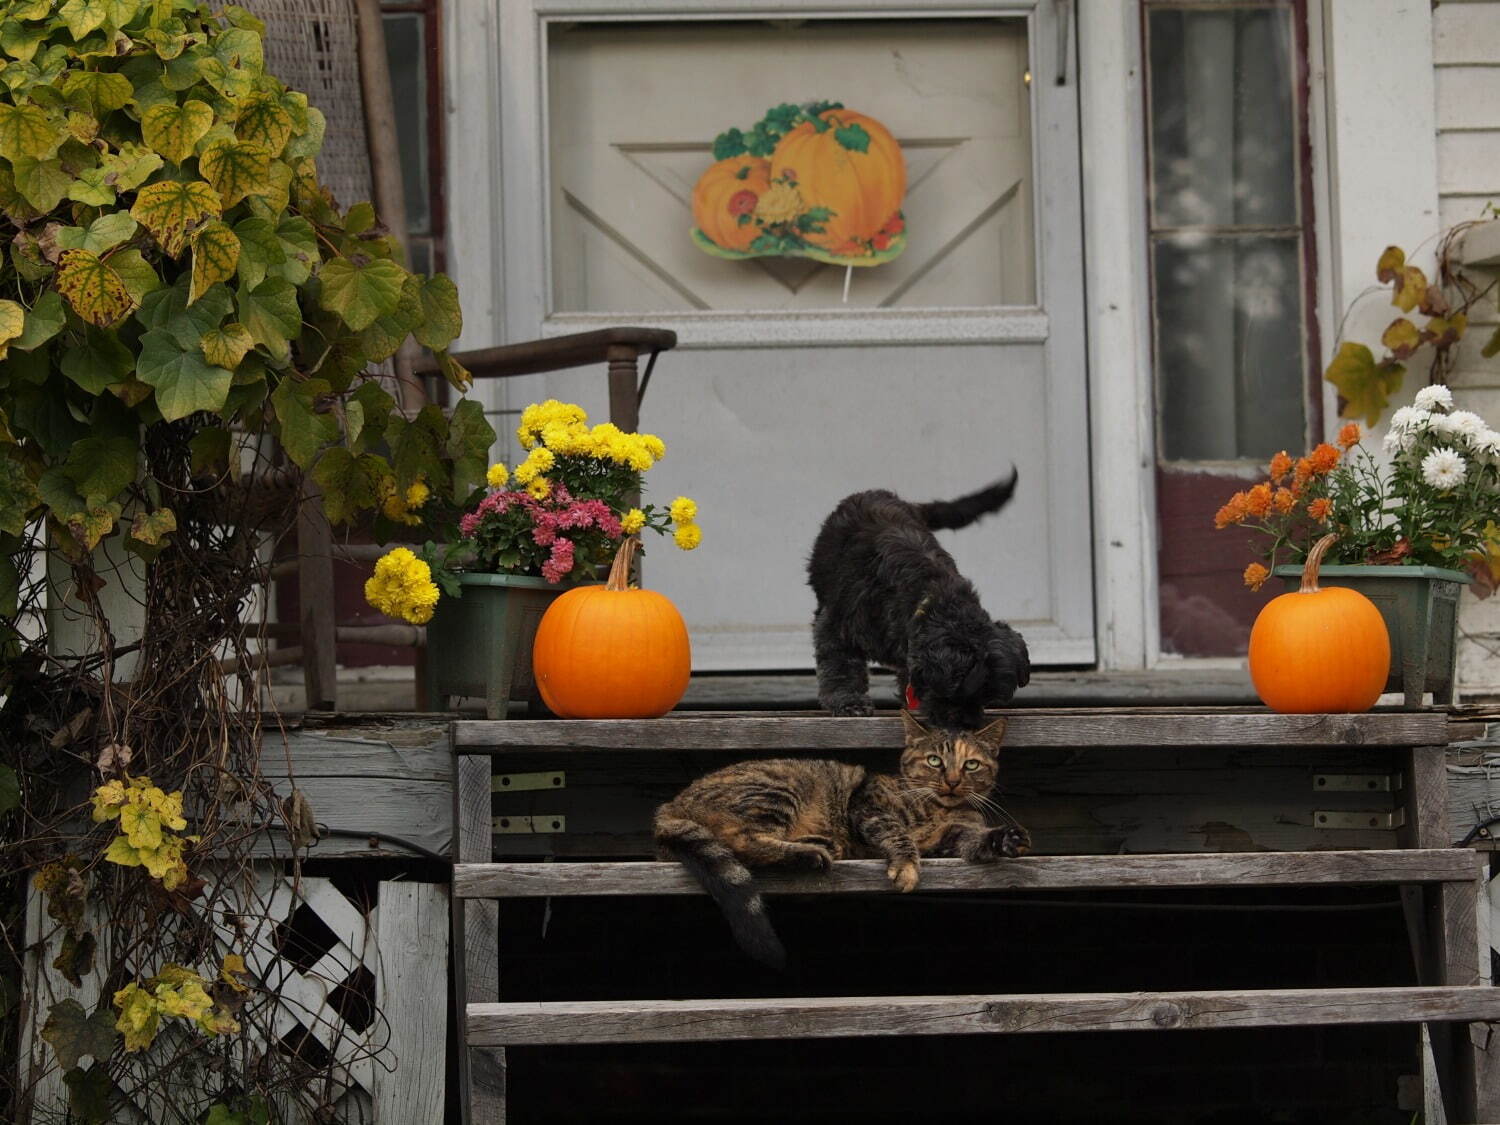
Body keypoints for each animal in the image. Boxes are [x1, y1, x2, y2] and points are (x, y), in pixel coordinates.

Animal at [657, 714, 1032, 972]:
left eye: (972, 764)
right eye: (934, 761)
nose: (952, 782)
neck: (938, 809)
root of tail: (670, 805)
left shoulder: (948, 839)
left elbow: (973, 839)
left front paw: (1005, 838)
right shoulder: (869, 808)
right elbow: (897, 834)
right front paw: (906, 868)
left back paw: (819, 843)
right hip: (779, 788)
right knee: (741, 839)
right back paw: (810, 853)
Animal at [810, 483, 1032, 732]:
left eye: (986, 698)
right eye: (958, 693)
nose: (966, 726)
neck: (930, 598)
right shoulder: (837, 623)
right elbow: (840, 666)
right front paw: (849, 702)